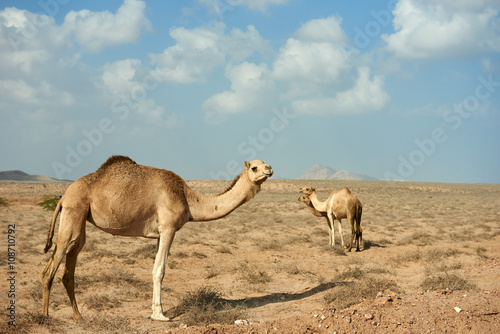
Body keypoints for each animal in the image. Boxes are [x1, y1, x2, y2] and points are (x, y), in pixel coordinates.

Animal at [41, 157, 274, 320]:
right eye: (254, 167)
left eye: (265, 163)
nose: (270, 169)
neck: (188, 199)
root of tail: (64, 195)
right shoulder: (169, 228)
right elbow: (159, 270)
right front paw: (160, 315)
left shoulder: (160, 233)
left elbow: (156, 268)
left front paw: (155, 311)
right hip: (73, 211)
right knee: (49, 269)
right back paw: (45, 317)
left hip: (79, 219)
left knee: (69, 268)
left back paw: (78, 317)